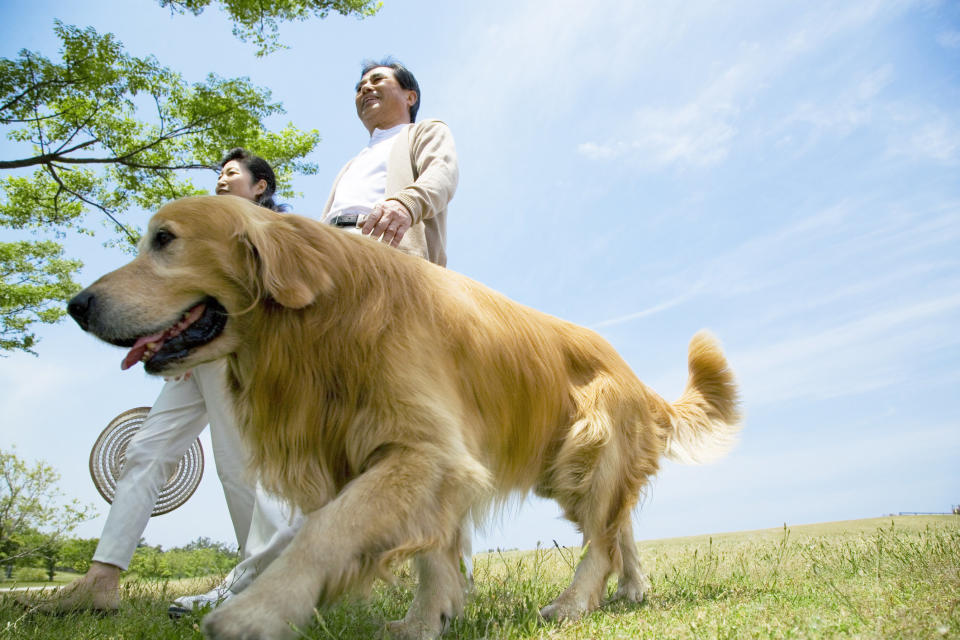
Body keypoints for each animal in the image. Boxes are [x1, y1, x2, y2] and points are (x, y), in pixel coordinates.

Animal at [69, 196, 744, 640]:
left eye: (165, 239)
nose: (76, 305)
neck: (320, 324)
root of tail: (635, 377)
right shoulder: (426, 461)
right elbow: (432, 554)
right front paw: (426, 620)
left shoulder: (427, 451)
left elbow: (327, 530)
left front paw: (256, 613)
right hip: (568, 468)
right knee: (617, 527)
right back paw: (631, 591)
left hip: (588, 449)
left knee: (601, 541)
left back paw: (575, 604)